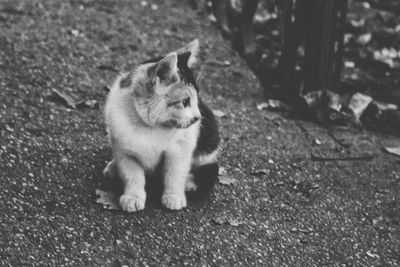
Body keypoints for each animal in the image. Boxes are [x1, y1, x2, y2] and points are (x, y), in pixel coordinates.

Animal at [102, 39, 219, 213]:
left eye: (197, 98)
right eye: (185, 101)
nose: (198, 117)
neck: (149, 127)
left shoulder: (180, 149)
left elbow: (175, 173)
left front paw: (173, 196)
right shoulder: (124, 151)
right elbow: (132, 175)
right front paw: (133, 196)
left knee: (208, 173)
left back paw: (189, 182)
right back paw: (113, 168)